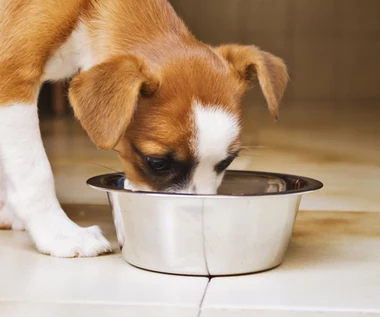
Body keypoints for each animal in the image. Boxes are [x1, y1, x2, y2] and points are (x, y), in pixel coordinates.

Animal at [0, 0, 286, 256]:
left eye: (227, 162)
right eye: (157, 163)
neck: (86, 9)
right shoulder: (12, 83)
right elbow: (35, 172)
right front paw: (58, 232)